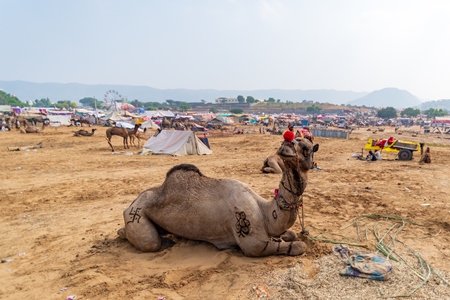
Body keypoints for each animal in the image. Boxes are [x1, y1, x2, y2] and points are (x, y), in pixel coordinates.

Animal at [118, 139, 318, 256]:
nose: (286, 146)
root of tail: (130, 205)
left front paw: (284, 236)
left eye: (307, 148)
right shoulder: (252, 243)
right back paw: (166, 241)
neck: (266, 213)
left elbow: (290, 233)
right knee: (151, 242)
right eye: (287, 141)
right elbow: (298, 246)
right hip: (137, 215)